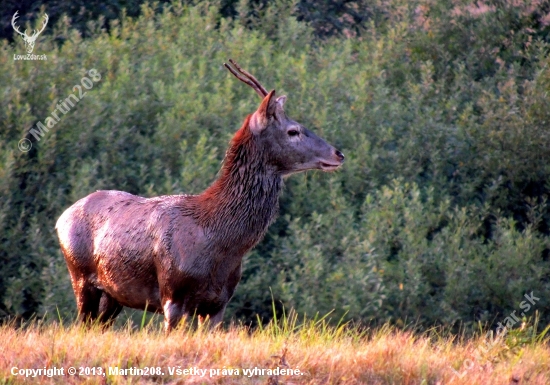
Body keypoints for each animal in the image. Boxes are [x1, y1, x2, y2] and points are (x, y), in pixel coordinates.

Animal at [57, 60, 344, 330]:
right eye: (293, 131)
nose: (338, 153)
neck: (220, 242)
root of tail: (61, 219)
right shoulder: (172, 295)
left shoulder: (218, 304)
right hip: (80, 275)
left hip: (115, 294)